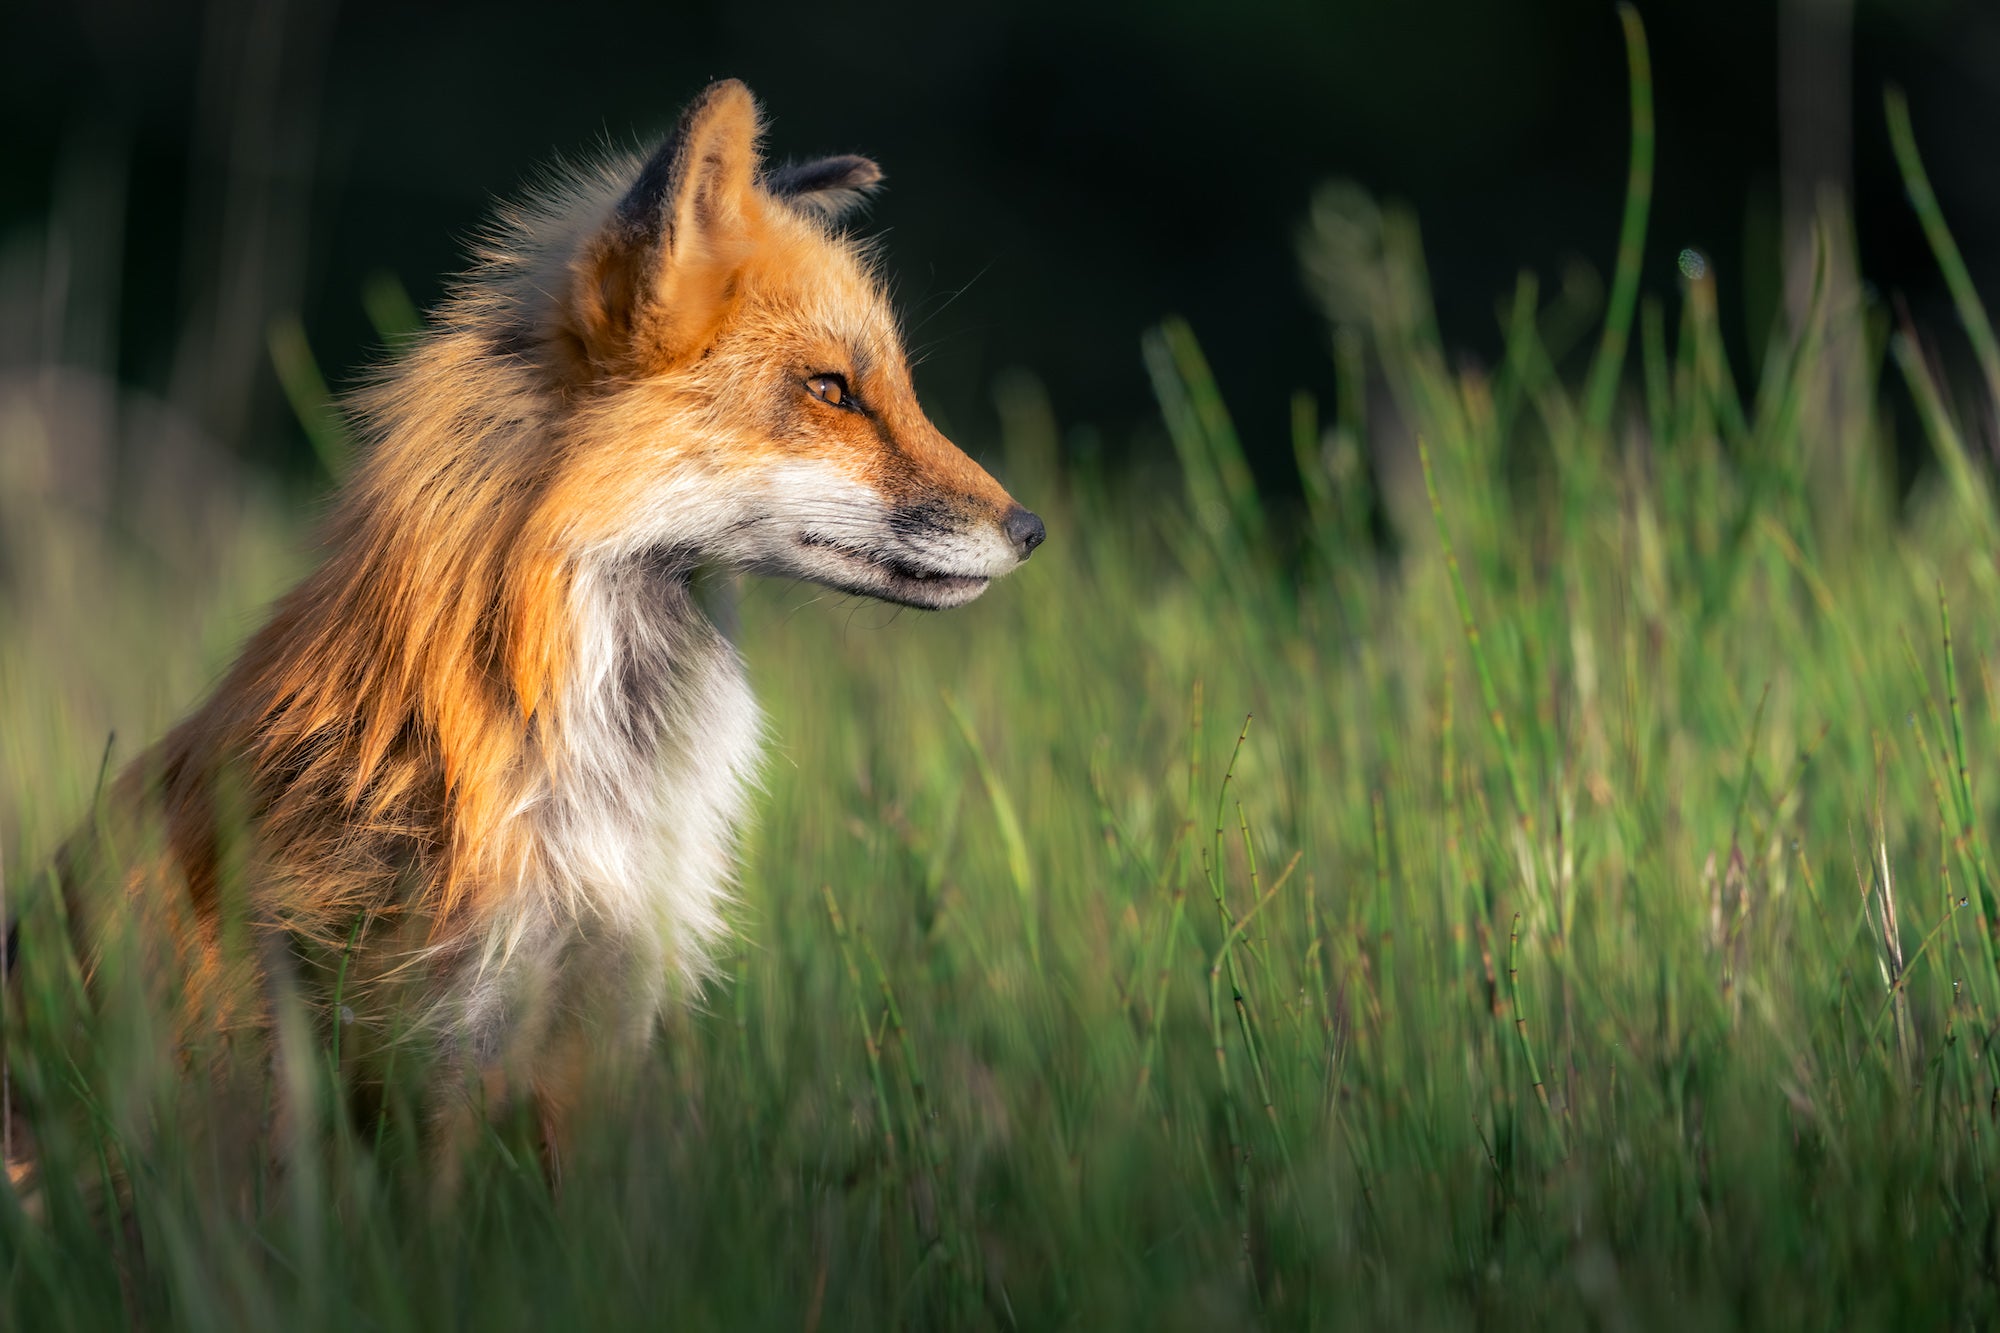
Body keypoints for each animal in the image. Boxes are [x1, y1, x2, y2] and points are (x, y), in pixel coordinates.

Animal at [10, 78, 1042, 1183]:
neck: (595, 779)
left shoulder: (597, 1019)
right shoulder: (447, 1037)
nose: (1030, 530)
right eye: (830, 390)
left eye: (891, 387)